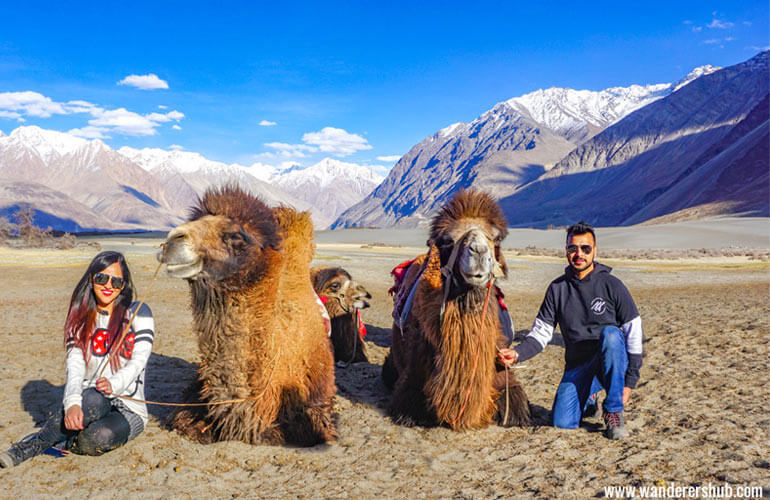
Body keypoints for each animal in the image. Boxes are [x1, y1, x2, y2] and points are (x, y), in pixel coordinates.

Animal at [382, 189, 528, 432]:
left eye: (496, 238)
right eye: (447, 240)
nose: (478, 251)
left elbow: (516, 407)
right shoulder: (410, 382)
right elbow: (409, 407)